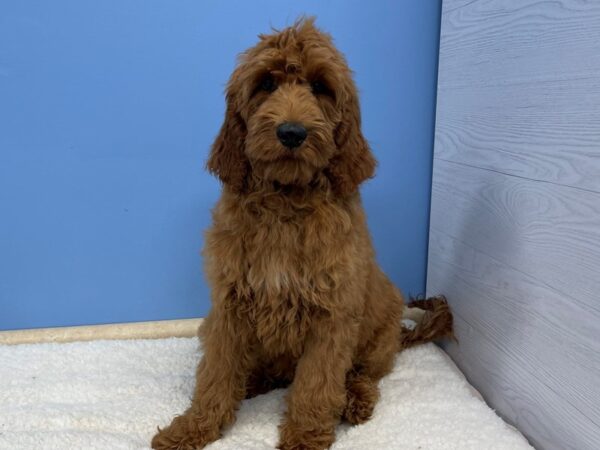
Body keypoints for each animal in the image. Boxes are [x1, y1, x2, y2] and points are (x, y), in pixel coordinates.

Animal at [152, 17, 452, 450]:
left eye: (320, 87)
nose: (291, 132)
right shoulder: (229, 304)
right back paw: (253, 381)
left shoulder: (332, 315)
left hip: (379, 331)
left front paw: (306, 436)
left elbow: (316, 383)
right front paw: (194, 427)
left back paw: (355, 400)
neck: (285, 200)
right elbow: (217, 372)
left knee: (363, 374)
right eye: (266, 84)